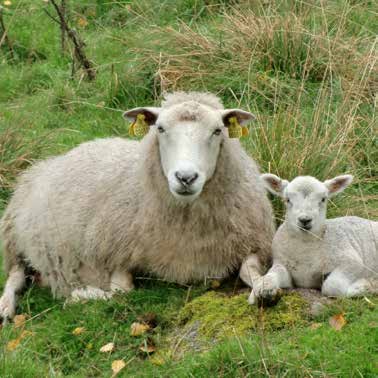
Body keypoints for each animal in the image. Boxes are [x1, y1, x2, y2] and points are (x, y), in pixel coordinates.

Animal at [0, 91, 274, 322]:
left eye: (217, 131)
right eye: (160, 128)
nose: (185, 177)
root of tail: (53, 159)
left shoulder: (251, 242)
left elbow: (251, 271)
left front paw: (265, 288)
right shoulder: (114, 253)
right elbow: (121, 291)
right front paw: (81, 295)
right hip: (14, 234)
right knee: (15, 275)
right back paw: (5, 307)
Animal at [248, 174, 378, 304]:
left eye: (323, 199)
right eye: (287, 199)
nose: (305, 220)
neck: (306, 249)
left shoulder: (352, 262)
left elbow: (331, 285)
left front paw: (365, 286)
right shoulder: (281, 263)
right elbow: (270, 275)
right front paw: (261, 290)